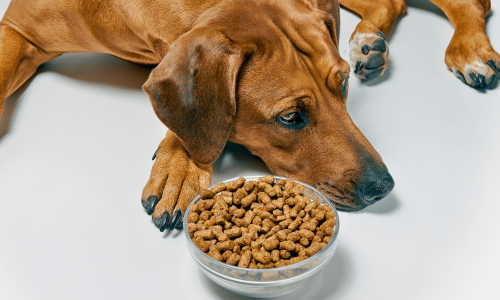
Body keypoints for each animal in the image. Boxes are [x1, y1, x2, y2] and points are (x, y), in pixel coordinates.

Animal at [0, 0, 498, 232]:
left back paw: (470, 49)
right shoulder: (17, 28)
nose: (384, 186)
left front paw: (180, 163)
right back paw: (369, 40)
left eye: (342, 86)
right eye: (291, 117)